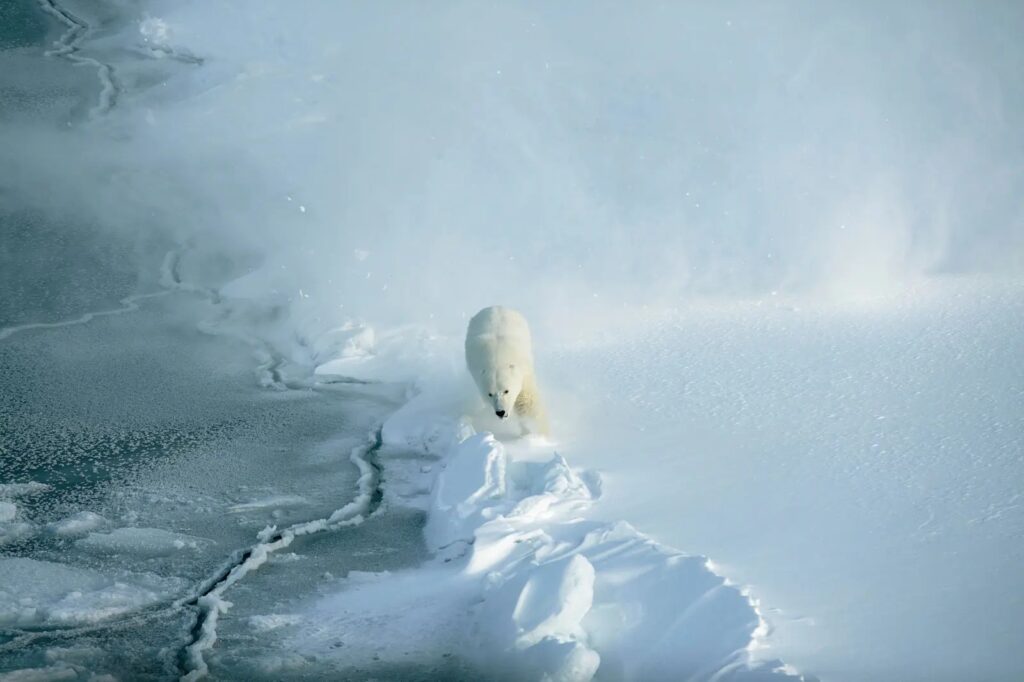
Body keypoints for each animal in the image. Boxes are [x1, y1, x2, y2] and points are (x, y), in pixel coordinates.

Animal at [465, 305, 549, 435]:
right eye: (490, 394)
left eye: (506, 391)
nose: (500, 412)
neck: (497, 358)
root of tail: (495, 306)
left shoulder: (523, 369)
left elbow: (526, 401)